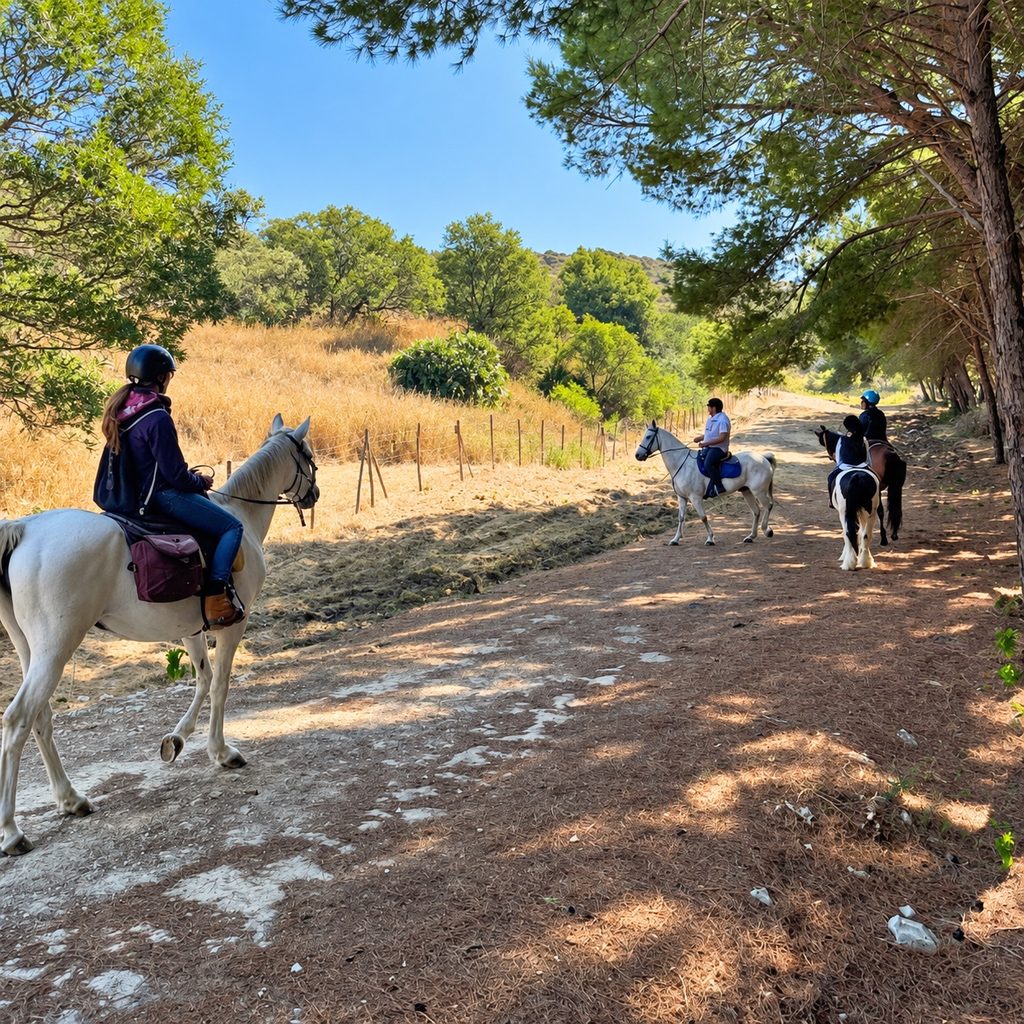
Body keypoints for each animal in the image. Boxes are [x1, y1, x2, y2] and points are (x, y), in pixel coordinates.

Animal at [0, 414, 318, 856]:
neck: (240, 513)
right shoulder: (234, 625)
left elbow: (202, 679)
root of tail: (25, 529)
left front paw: (177, 739)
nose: (314, 495)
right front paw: (221, 752)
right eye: (309, 457)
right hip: (54, 650)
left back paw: (70, 799)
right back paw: (12, 831)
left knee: (40, 718)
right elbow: (220, 684)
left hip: (31, 651)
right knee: (18, 720)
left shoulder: (192, 629)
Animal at [634, 421, 776, 546]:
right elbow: (681, 518)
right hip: (746, 491)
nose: (637, 455)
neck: (682, 463)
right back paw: (751, 536)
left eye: (648, 437)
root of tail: (763, 458)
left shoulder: (695, 497)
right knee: (756, 511)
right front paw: (675, 539)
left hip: (759, 491)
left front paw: (710, 539)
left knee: (768, 506)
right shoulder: (682, 497)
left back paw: (767, 530)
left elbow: (703, 517)